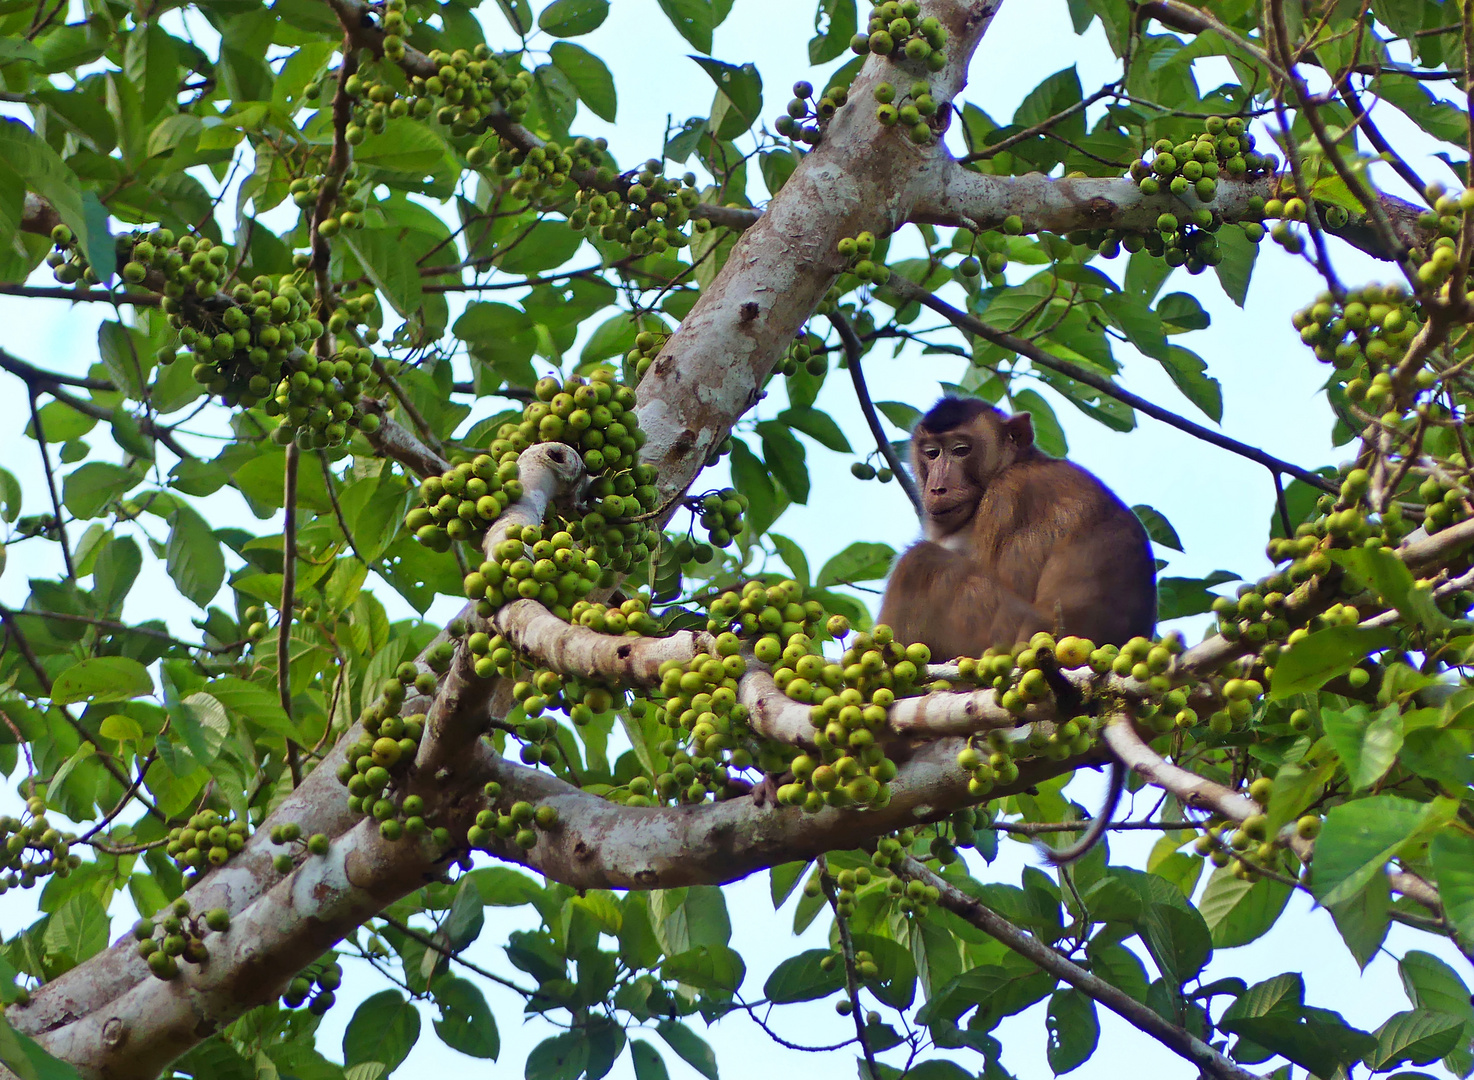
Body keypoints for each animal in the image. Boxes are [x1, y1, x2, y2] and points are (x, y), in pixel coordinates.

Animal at [878, 400, 1155, 866]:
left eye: (961, 449)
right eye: (931, 453)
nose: (937, 487)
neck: (1019, 462)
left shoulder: (1009, 498)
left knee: (920, 563)